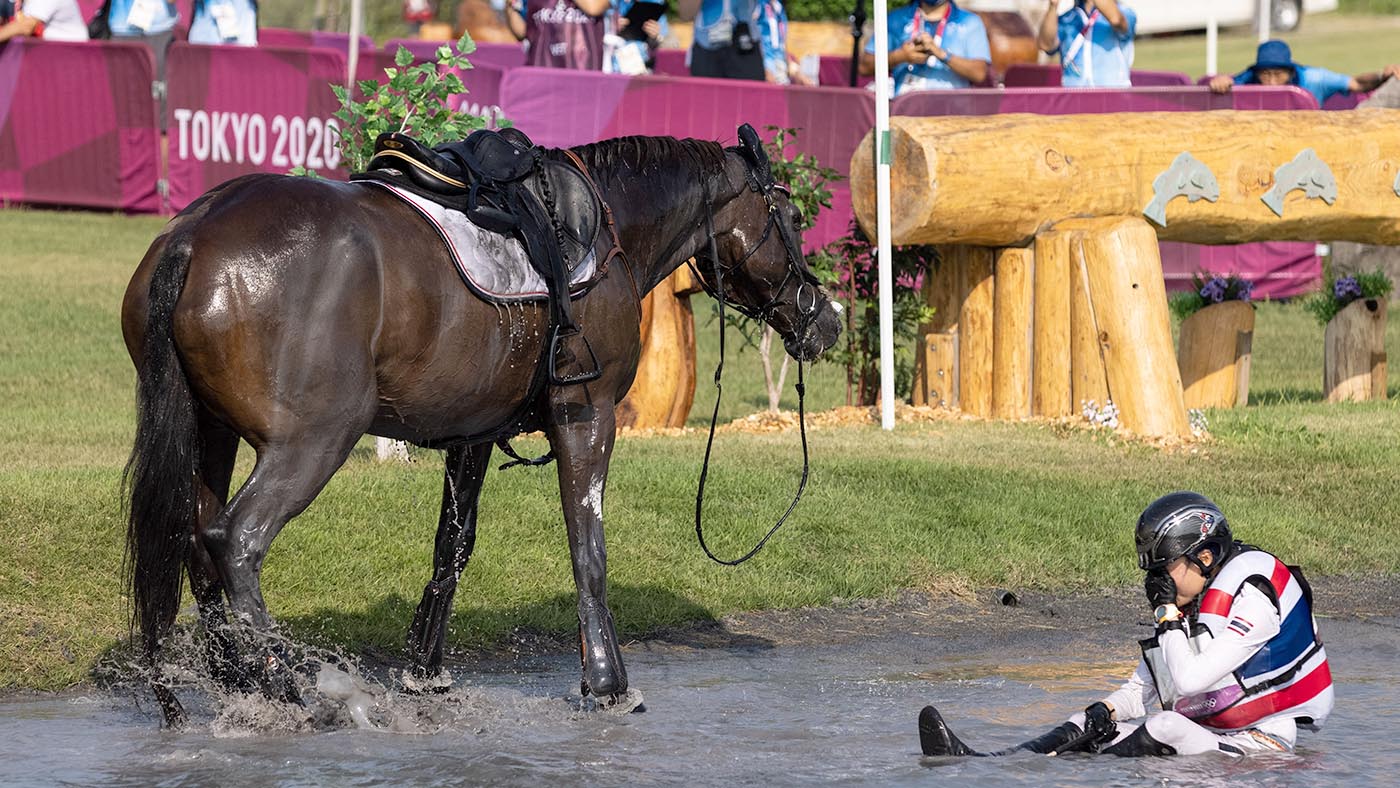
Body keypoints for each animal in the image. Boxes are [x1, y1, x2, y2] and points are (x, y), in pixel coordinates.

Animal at [120, 126, 843, 725]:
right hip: (312, 441)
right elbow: (588, 548)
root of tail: (193, 236)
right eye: (792, 217)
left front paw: (425, 670)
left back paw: (238, 681)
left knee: (198, 539)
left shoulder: (470, 434)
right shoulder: (586, 415)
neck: (606, 229)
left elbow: (453, 546)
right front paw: (607, 683)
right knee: (237, 539)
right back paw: (285, 686)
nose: (827, 319)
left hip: (210, 431)